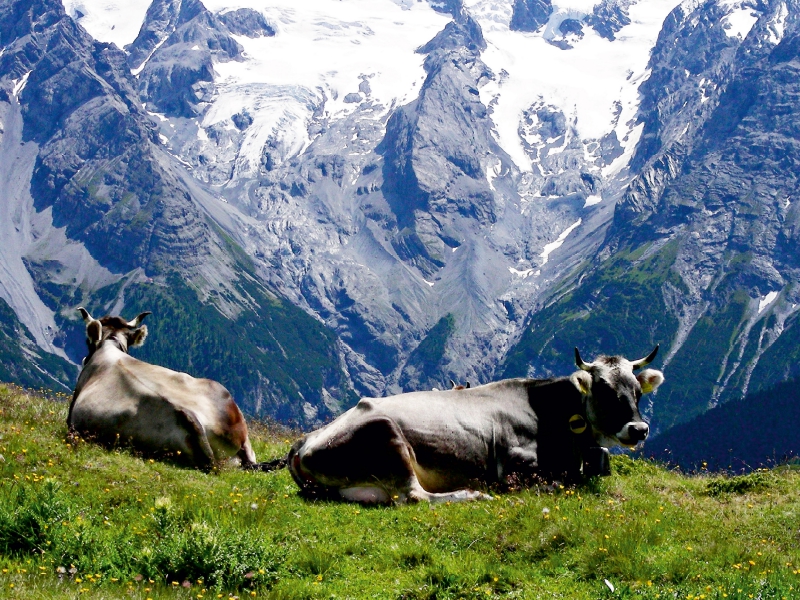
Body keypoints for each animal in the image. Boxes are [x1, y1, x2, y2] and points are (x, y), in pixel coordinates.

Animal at [282, 344, 664, 504]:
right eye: (603, 390)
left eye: (636, 391)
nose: (639, 429)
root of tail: (305, 442)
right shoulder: (514, 465)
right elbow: (556, 483)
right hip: (387, 436)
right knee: (414, 496)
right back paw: (472, 494)